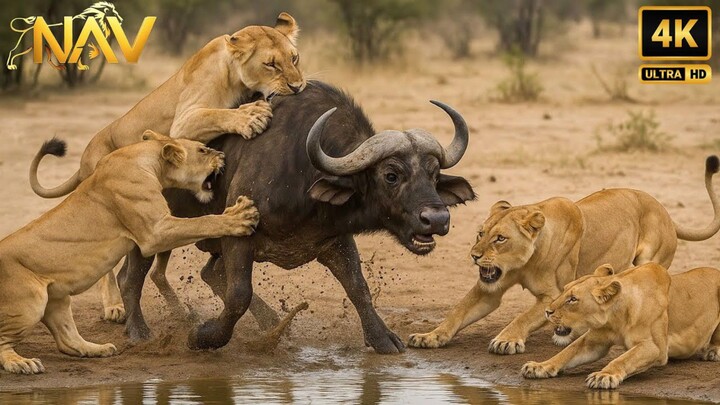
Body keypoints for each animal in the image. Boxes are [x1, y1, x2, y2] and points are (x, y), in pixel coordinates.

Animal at [0, 131, 259, 374]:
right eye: (203, 150)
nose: (222, 155)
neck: (146, 158)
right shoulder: (155, 232)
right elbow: (202, 222)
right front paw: (239, 216)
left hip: (57, 297)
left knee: (67, 341)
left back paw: (99, 349)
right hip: (31, 302)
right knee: (4, 340)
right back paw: (21, 363)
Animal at [28, 12, 304, 322]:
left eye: (294, 59)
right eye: (271, 64)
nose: (298, 87)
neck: (235, 76)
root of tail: (85, 156)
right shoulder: (184, 120)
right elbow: (218, 113)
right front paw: (250, 117)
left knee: (158, 271)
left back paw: (180, 311)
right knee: (107, 269)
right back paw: (114, 306)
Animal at [408, 156, 720, 354]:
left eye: (500, 238)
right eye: (479, 234)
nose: (474, 255)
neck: (527, 260)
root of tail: (666, 211)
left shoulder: (553, 294)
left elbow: (523, 316)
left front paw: (506, 340)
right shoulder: (490, 288)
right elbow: (458, 311)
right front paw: (430, 336)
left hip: (650, 259)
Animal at [522, 262, 720, 389]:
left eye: (573, 299)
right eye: (564, 291)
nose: (547, 311)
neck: (615, 319)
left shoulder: (655, 347)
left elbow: (623, 359)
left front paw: (604, 375)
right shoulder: (593, 341)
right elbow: (566, 352)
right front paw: (539, 366)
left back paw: (713, 352)